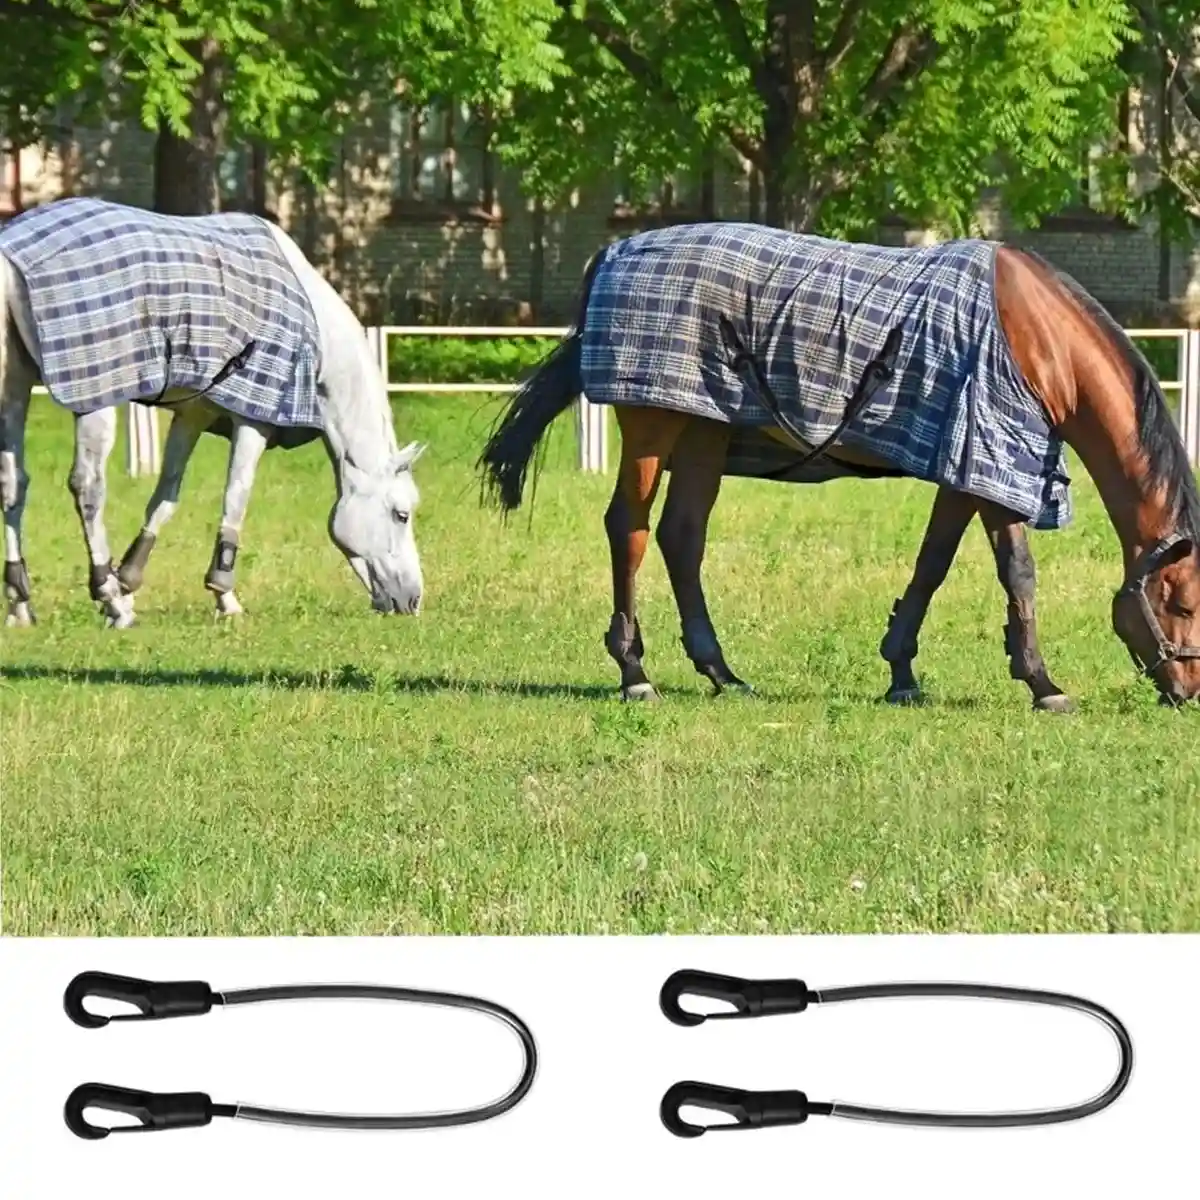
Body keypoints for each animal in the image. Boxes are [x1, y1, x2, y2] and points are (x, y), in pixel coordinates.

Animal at [0, 197, 424, 628]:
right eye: (401, 514)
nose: (412, 600)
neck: (313, 330)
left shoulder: (192, 416)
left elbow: (165, 498)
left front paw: (129, 582)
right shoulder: (254, 420)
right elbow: (236, 497)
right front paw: (223, 595)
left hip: (13, 388)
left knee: (13, 484)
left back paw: (21, 602)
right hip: (93, 399)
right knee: (88, 487)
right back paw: (109, 598)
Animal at [479, 222, 1200, 708]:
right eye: (1184, 603)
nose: (1187, 689)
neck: (1038, 336)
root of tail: (613, 254)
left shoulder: (963, 468)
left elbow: (932, 563)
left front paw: (902, 673)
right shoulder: (991, 461)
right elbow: (1017, 573)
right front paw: (1042, 682)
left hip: (706, 432)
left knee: (682, 537)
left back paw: (722, 673)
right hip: (654, 426)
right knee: (627, 528)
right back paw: (635, 674)